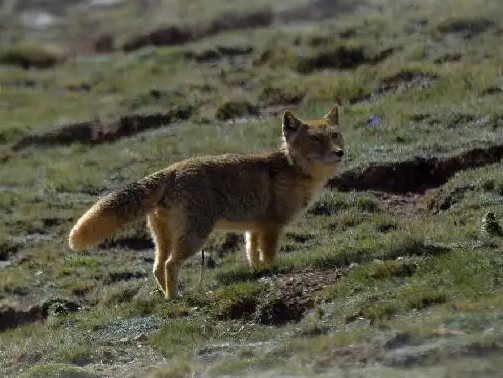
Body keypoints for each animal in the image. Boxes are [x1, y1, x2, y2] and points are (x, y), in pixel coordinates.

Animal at [68, 105, 346, 300]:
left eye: (335, 136)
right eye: (315, 140)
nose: (340, 153)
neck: (293, 168)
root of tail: (171, 169)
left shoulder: (254, 228)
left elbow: (252, 254)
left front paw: (258, 272)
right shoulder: (271, 227)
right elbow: (267, 256)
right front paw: (271, 270)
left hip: (165, 239)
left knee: (157, 267)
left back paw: (166, 297)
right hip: (195, 236)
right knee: (170, 265)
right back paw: (175, 297)